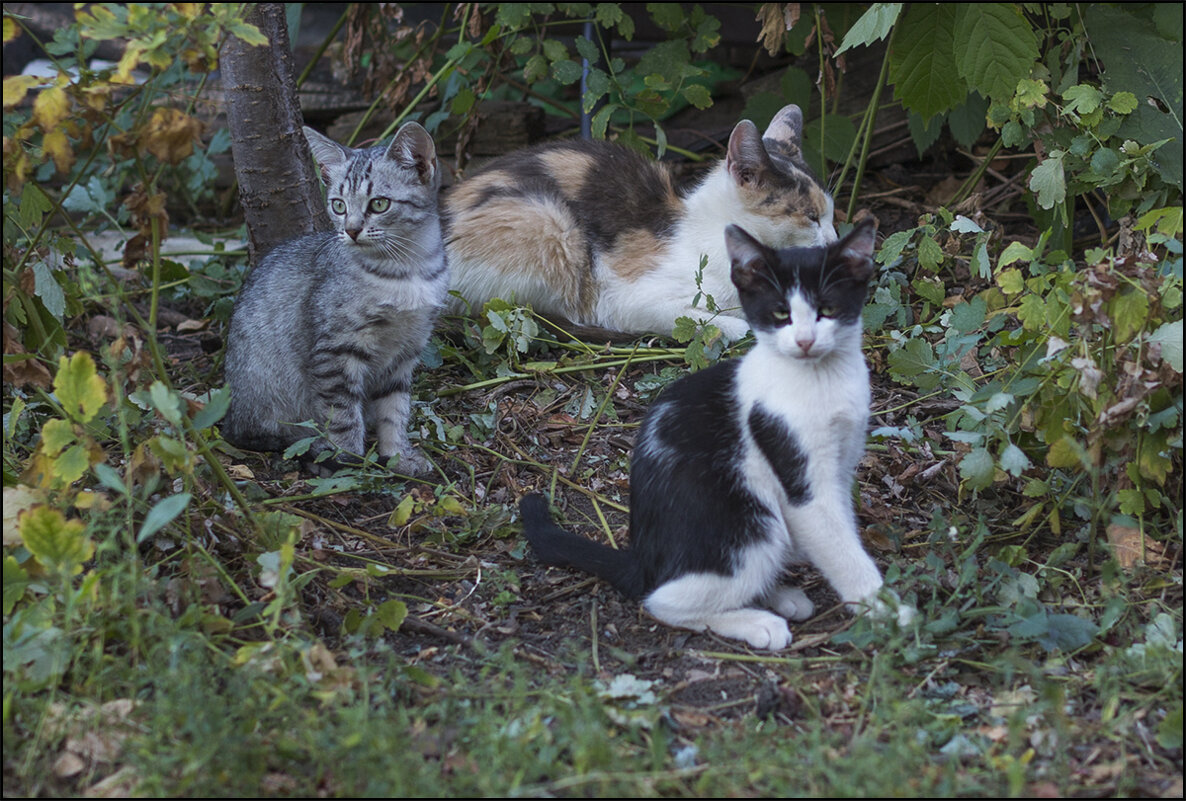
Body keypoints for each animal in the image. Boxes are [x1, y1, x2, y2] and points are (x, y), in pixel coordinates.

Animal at [220, 124, 445, 477]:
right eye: (339, 206)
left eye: (379, 204)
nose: (351, 230)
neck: (407, 271)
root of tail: (230, 417)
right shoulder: (336, 350)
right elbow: (341, 414)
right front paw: (349, 462)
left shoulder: (406, 351)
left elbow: (394, 410)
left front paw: (398, 455)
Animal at [443, 104, 834, 341]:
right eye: (811, 217)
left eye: (832, 214)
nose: (833, 242)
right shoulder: (624, 298)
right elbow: (718, 323)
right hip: (550, 223)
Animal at [519, 215, 906, 650]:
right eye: (780, 314)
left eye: (827, 309)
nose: (805, 341)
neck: (820, 379)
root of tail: (643, 560)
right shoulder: (799, 477)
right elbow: (837, 544)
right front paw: (886, 609)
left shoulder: (842, 463)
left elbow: (842, 531)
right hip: (747, 524)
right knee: (663, 600)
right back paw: (757, 623)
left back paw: (779, 596)